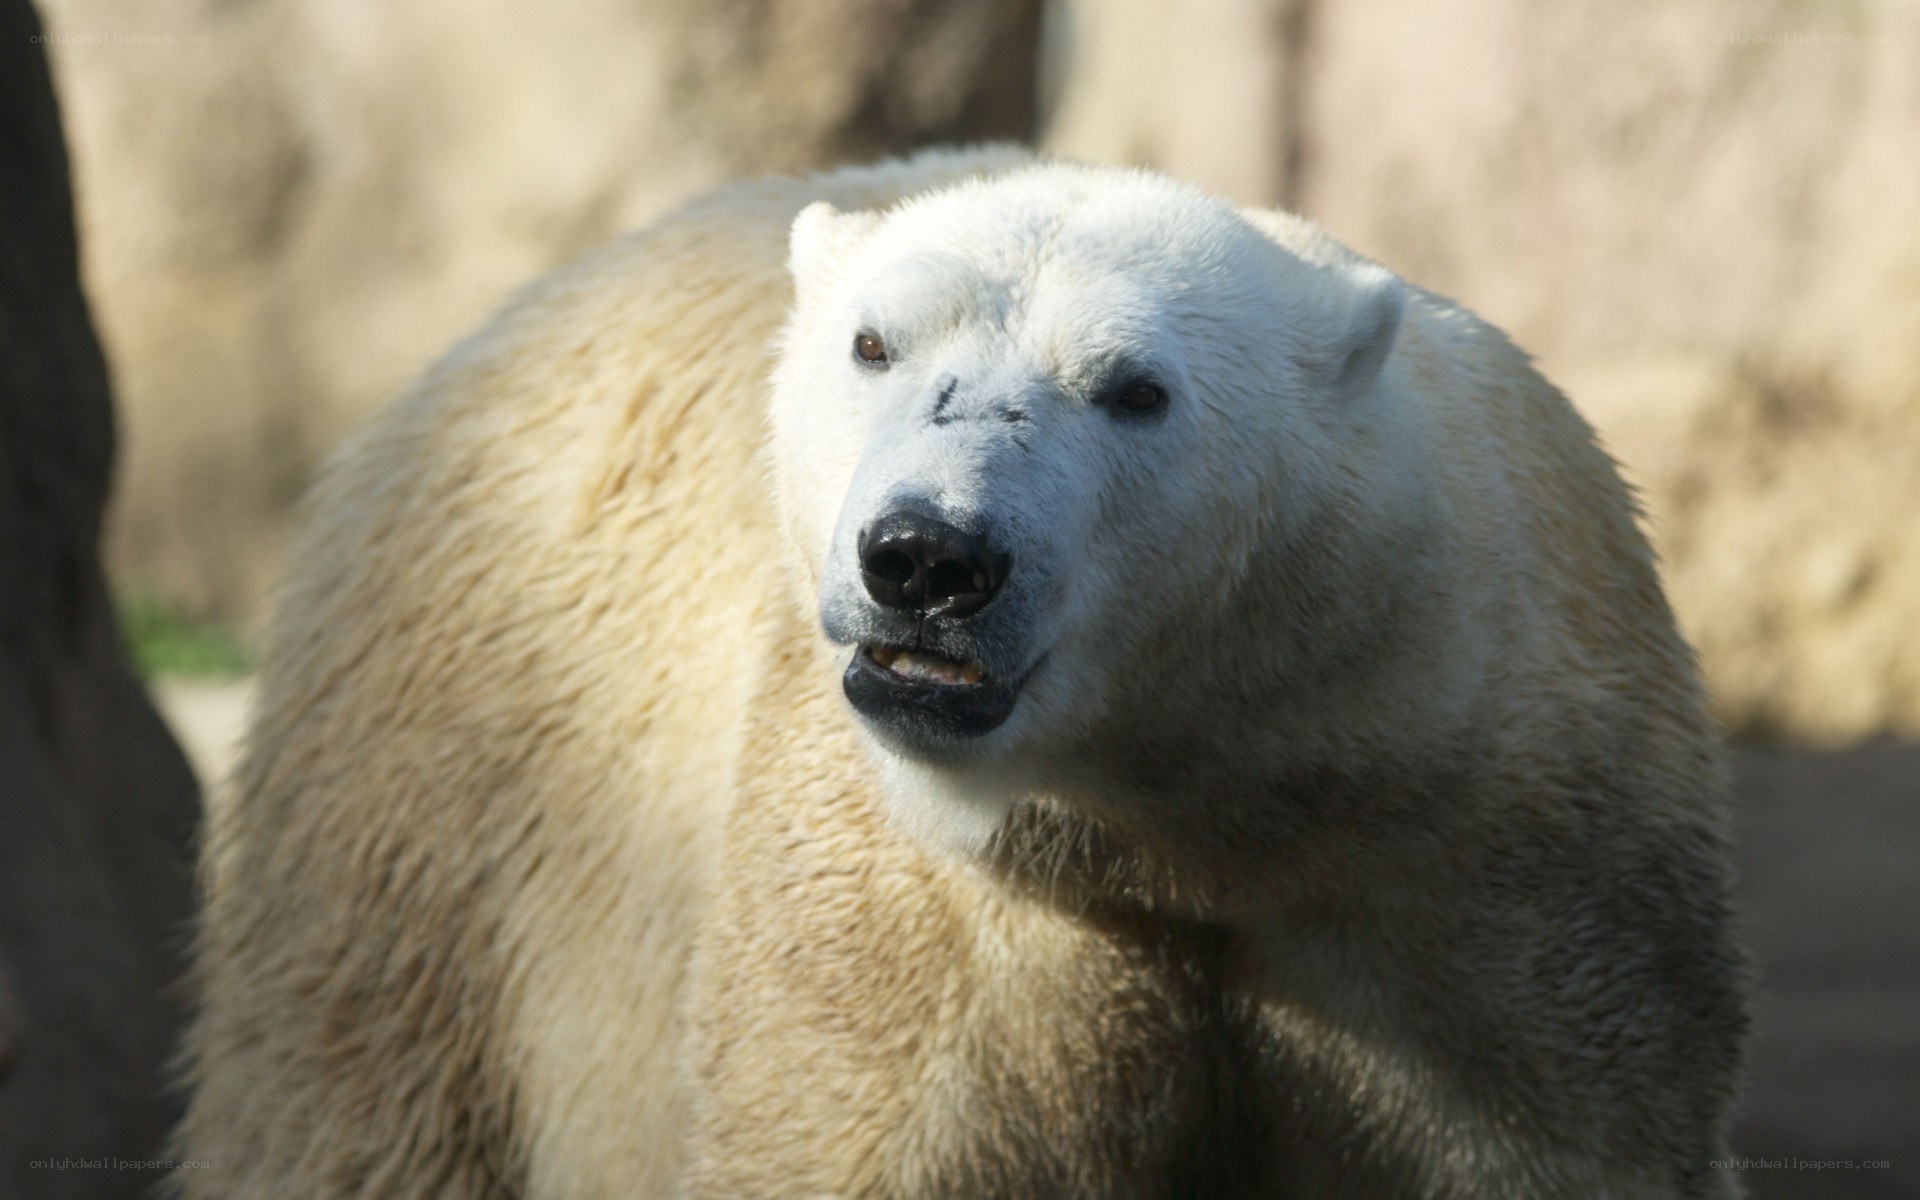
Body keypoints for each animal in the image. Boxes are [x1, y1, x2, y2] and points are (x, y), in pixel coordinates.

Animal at [175, 145, 1748, 1198]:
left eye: (1135, 388)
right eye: (874, 344)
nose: (927, 556)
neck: (1202, 811)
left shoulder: (1485, 881)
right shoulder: (936, 925)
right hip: (446, 803)